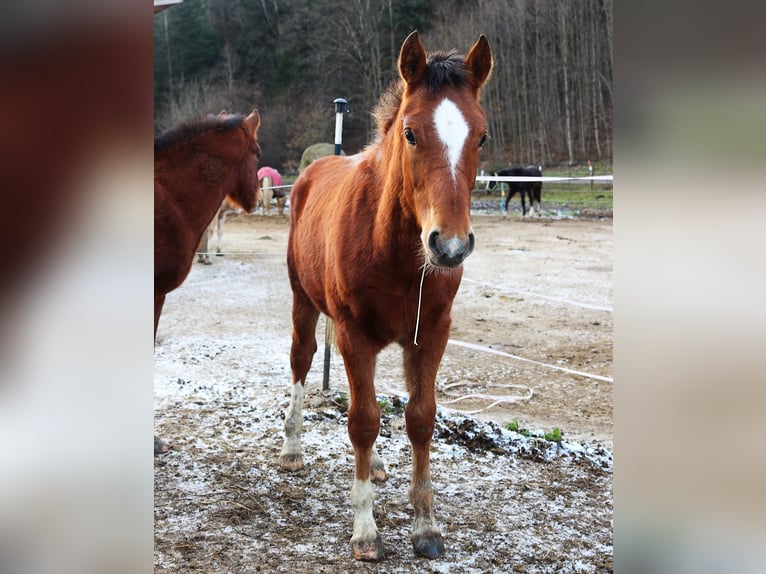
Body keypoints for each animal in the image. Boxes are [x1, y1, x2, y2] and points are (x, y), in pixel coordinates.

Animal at [280, 31, 492, 564]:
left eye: (481, 137)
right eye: (411, 134)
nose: (450, 246)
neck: (397, 250)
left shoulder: (431, 333)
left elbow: (418, 418)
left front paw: (426, 526)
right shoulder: (353, 333)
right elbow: (362, 420)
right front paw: (365, 531)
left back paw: (373, 465)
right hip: (303, 302)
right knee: (302, 360)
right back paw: (291, 449)